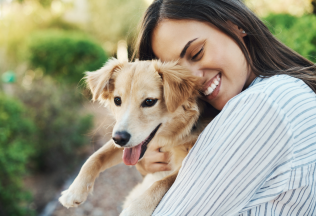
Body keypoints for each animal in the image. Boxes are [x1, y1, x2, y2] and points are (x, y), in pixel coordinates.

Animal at [58, 58, 216, 215]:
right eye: (117, 100)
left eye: (149, 101)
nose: (119, 139)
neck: (171, 137)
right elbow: (95, 157)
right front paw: (74, 191)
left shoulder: (184, 164)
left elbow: (163, 182)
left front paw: (136, 209)